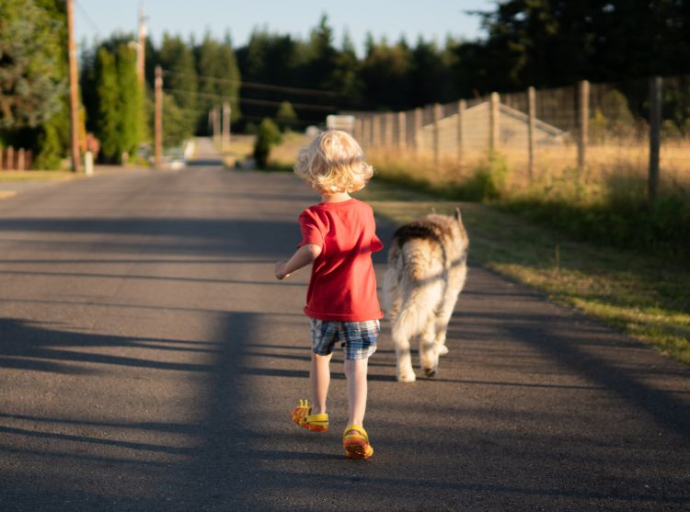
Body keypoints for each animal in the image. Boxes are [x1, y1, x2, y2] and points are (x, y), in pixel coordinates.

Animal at [378, 210, 470, 382]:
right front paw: (438, 350)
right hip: (430, 298)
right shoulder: (448, 298)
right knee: (426, 337)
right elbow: (441, 331)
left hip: (397, 300)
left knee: (400, 336)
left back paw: (405, 374)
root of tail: (412, 243)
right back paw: (429, 366)